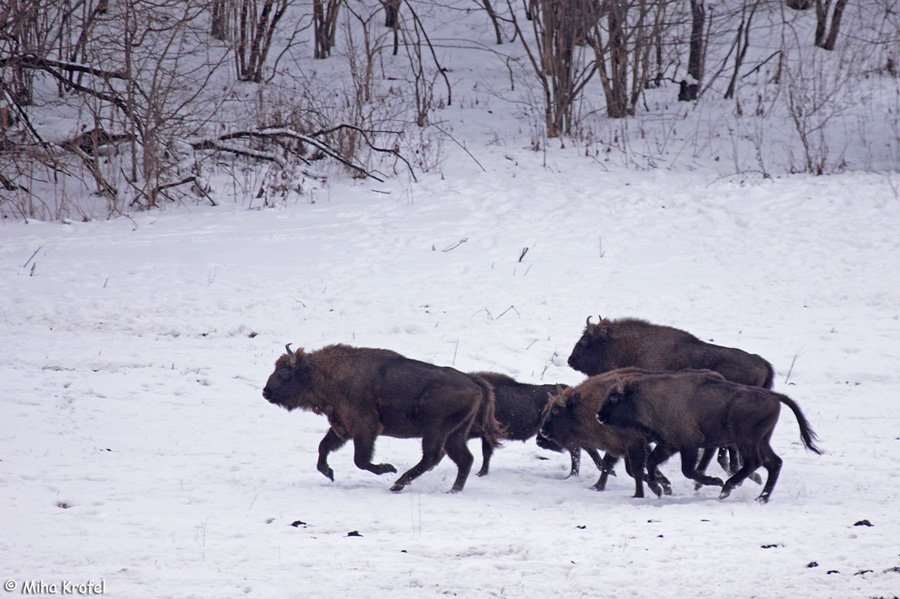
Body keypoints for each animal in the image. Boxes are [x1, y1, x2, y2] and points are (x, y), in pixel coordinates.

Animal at [262, 344, 506, 494]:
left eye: (284, 373)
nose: (266, 392)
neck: (324, 374)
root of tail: (474, 383)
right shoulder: (343, 428)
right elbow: (323, 447)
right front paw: (329, 473)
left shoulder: (365, 428)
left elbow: (360, 460)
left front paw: (388, 468)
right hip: (455, 434)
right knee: (463, 459)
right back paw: (451, 490)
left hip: (435, 432)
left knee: (433, 457)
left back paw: (397, 483)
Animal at [596, 370, 824, 502]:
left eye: (614, 397)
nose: (599, 416)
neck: (649, 398)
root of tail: (772, 395)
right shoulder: (668, 445)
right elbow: (651, 464)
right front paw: (660, 489)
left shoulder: (688, 444)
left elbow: (688, 470)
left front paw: (713, 481)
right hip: (762, 440)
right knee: (773, 463)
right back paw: (760, 498)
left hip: (746, 440)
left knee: (755, 462)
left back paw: (726, 489)